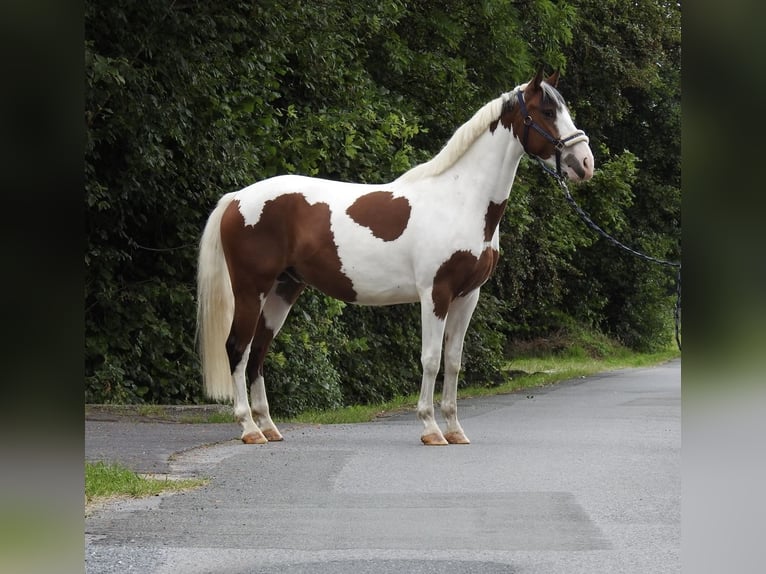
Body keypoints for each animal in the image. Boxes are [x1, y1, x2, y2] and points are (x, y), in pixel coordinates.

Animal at [197, 70, 594, 446]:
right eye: (547, 112)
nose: (585, 163)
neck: (460, 199)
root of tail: (235, 198)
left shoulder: (468, 297)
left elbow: (453, 361)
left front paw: (455, 429)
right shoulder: (436, 294)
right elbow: (431, 359)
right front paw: (431, 429)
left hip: (283, 289)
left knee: (258, 353)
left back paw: (268, 427)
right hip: (252, 288)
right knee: (238, 348)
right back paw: (249, 428)